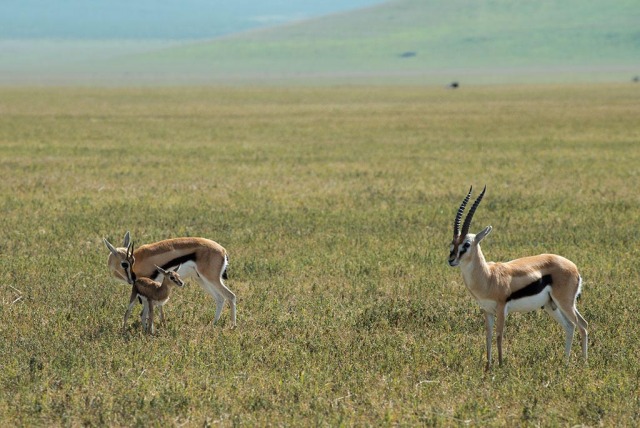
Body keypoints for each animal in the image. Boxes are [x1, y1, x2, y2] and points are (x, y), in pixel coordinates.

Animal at [103, 232, 236, 327]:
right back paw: (214, 324)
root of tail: (222, 250)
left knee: (231, 296)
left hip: (212, 279)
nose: (132, 279)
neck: (140, 261)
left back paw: (232, 326)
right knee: (220, 298)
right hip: (202, 280)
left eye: (128, 262)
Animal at [448, 186, 588, 370]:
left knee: (582, 325)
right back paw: (565, 362)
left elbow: (499, 335)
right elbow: (488, 335)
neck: (488, 277)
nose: (451, 260)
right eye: (452, 243)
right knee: (570, 326)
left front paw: (500, 366)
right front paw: (488, 366)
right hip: (551, 305)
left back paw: (584, 363)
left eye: (467, 244)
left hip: (565, 303)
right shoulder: (487, 310)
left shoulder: (501, 309)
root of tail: (574, 267)